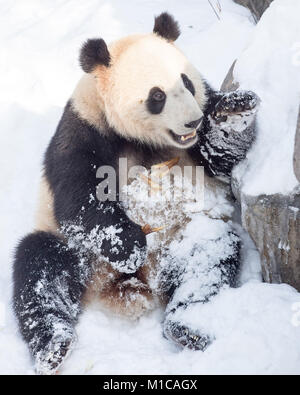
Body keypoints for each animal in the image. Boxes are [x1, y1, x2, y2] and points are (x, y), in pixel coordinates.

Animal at [12, 12, 258, 376]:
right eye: (157, 96)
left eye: (187, 83)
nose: (193, 121)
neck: (143, 139)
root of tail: (128, 286)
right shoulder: (83, 128)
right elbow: (78, 199)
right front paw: (129, 246)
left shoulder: (201, 126)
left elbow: (220, 161)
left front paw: (234, 112)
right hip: (78, 252)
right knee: (40, 269)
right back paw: (54, 346)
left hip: (183, 236)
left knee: (207, 257)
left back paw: (186, 327)